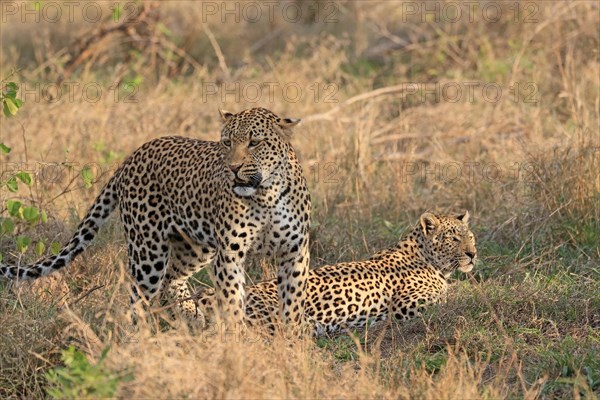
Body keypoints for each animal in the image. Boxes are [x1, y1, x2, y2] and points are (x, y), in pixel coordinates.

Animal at [3, 108, 314, 326]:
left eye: (254, 142)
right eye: (226, 143)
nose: (233, 168)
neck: (266, 195)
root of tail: (132, 156)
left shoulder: (295, 251)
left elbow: (293, 303)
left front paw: (293, 342)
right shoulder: (229, 255)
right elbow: (233, 303)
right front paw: (238, 341)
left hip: (195, 246)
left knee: (171, 280)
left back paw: (192, 317)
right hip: (147, 252)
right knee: (137, 302)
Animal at [195, 211, 476, 336]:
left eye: (470, 236)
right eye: (453, 238)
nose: (472, 254)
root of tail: (202, 296)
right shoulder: (405, 306)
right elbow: (446, 298)